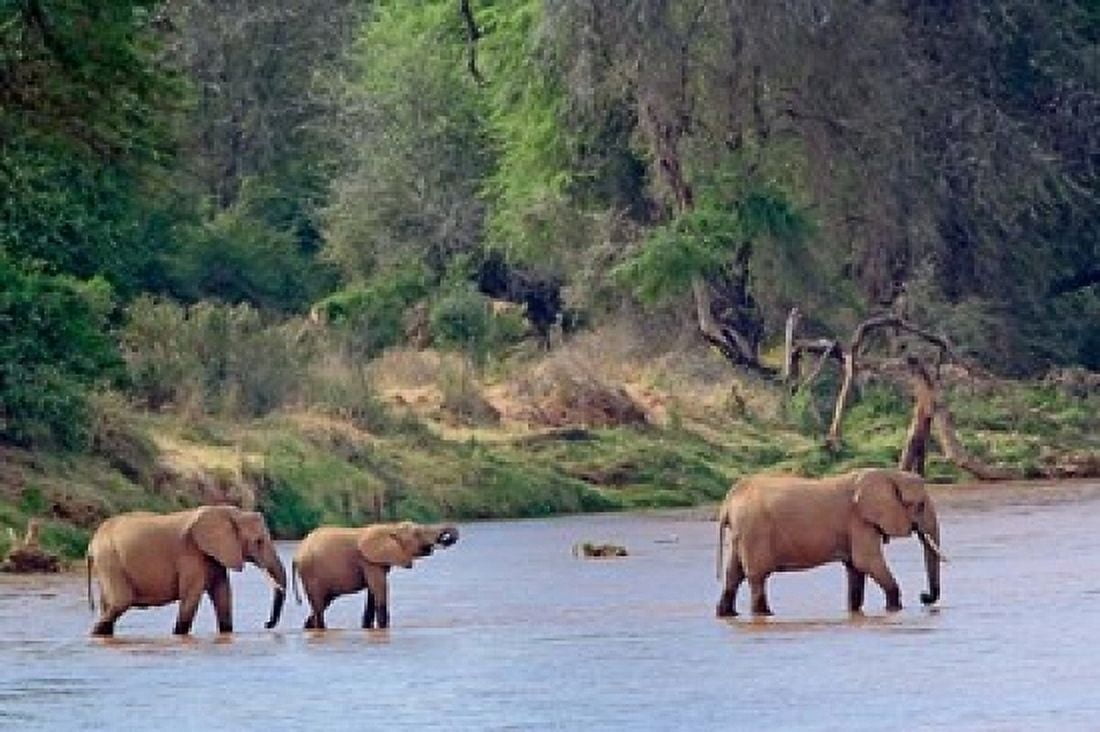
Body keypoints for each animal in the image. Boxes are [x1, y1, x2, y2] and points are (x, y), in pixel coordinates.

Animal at [85, 505, 287, 636]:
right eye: (259, 541)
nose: (266, 624)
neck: (230, 513)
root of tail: (91, 544)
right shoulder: (190, 554)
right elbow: (191, 596)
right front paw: (178, 635)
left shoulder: (214, 555)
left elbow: (223, 594)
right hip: (110, 559)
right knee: (120, 602)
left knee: (109, 606)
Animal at [292, 521, 458, 630]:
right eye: (417, 533)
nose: (445, 538)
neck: (391, 527)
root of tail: (296, 555)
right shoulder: (369, 561)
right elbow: (380, 591)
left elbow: (372, 594)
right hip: (310, 574)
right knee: (319, 608)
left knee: (320, 606)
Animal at [715, 468, 945, 617]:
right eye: (921, 505)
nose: (923, 596)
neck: (889, 474)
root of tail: (728, 501)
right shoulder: (859, 520)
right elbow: (867, 562)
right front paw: (894, 610)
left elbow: (856, 568)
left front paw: (854, 613)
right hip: (754, 531)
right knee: (757, 576)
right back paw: (765, 615)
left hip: (742, 532)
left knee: (733, 574)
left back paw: (728, 615)